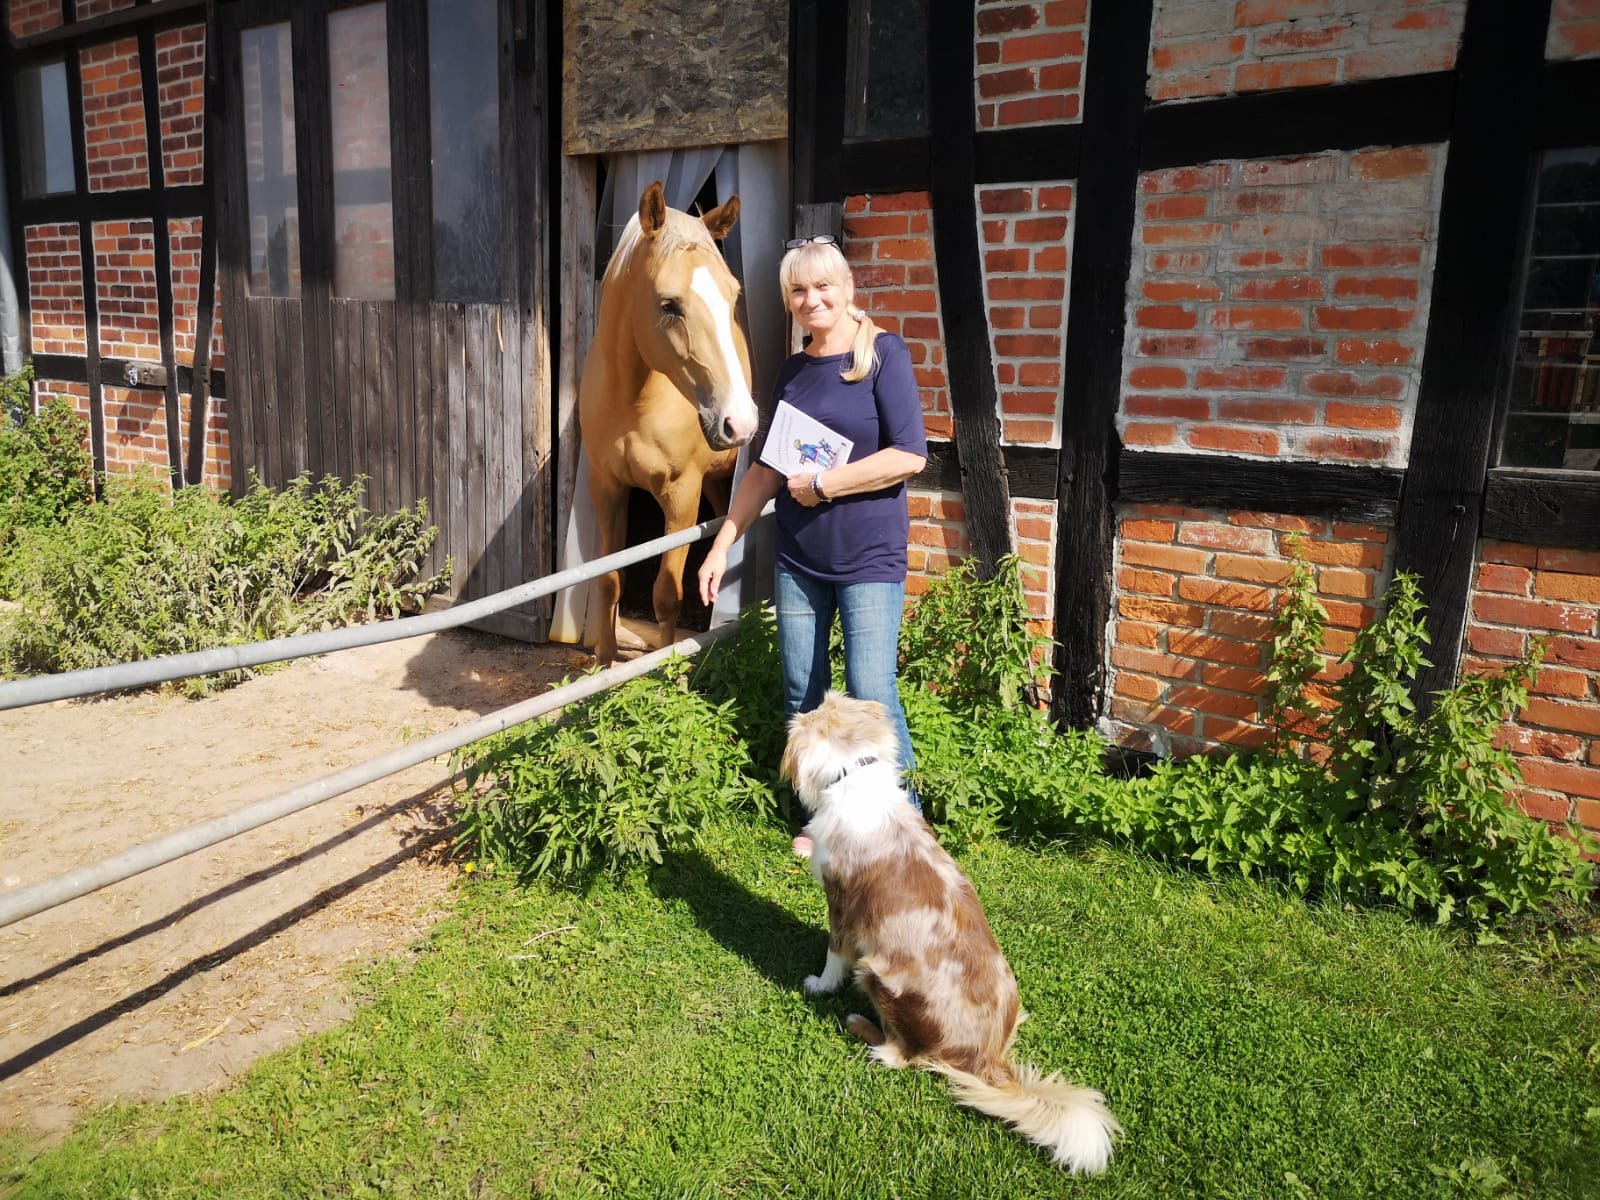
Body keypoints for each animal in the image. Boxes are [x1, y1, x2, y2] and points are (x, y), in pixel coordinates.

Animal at [582, 185, 761, 668]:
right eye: (669, 304)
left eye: (734, 296)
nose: (740, 421)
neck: (633, 401)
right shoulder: (607, 489)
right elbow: (609, 581)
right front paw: (604, 666)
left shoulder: (681, 496)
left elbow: (666, 594)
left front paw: (666, 673)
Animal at [780, 694, 1120, 1177]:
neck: (853, 772)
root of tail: (988, 1061)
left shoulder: (842, 905)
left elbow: (833, 955)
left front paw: (818, 985)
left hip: (877, 976)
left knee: (903, 1056)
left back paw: (862, 1028)